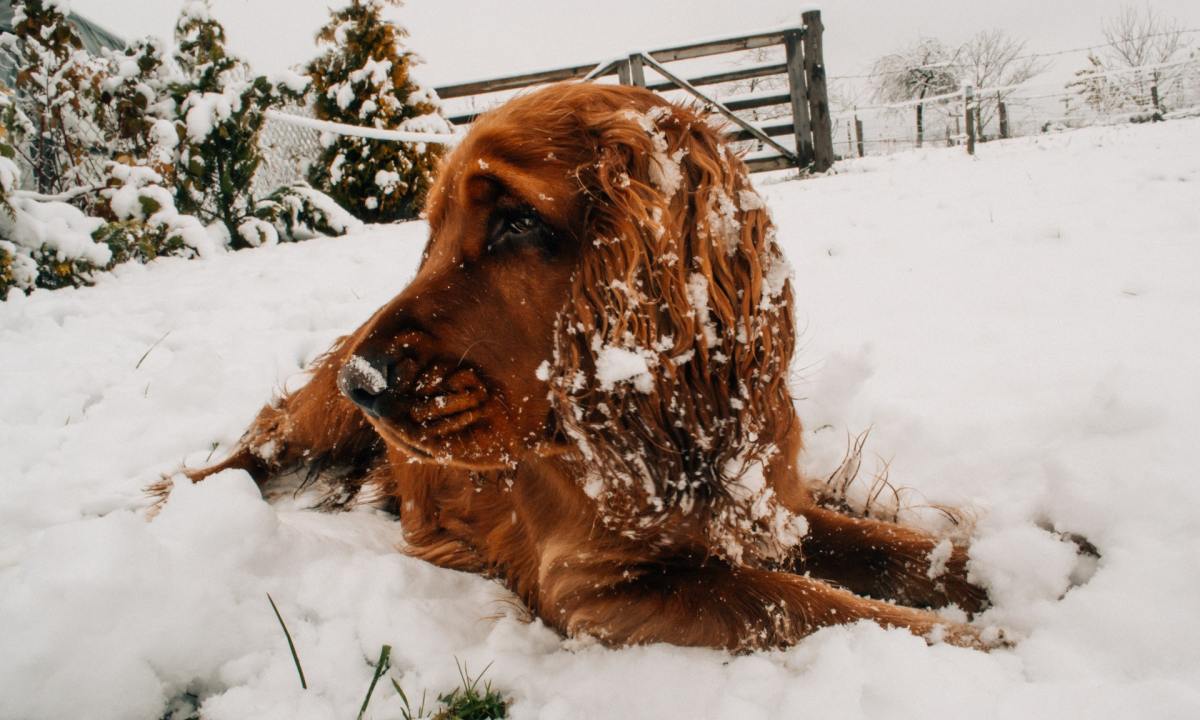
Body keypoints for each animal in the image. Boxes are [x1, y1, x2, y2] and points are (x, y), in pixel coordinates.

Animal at [171, 81, 993, 648]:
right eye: (432, 233)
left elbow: (900, 549)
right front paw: (974, 642)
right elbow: (801, 603)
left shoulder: (773, 508)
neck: (666, 437)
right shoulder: (595, 589)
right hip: (313, 419)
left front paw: (1003, 576)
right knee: (256, 444)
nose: (362, 382)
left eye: (516, 221)